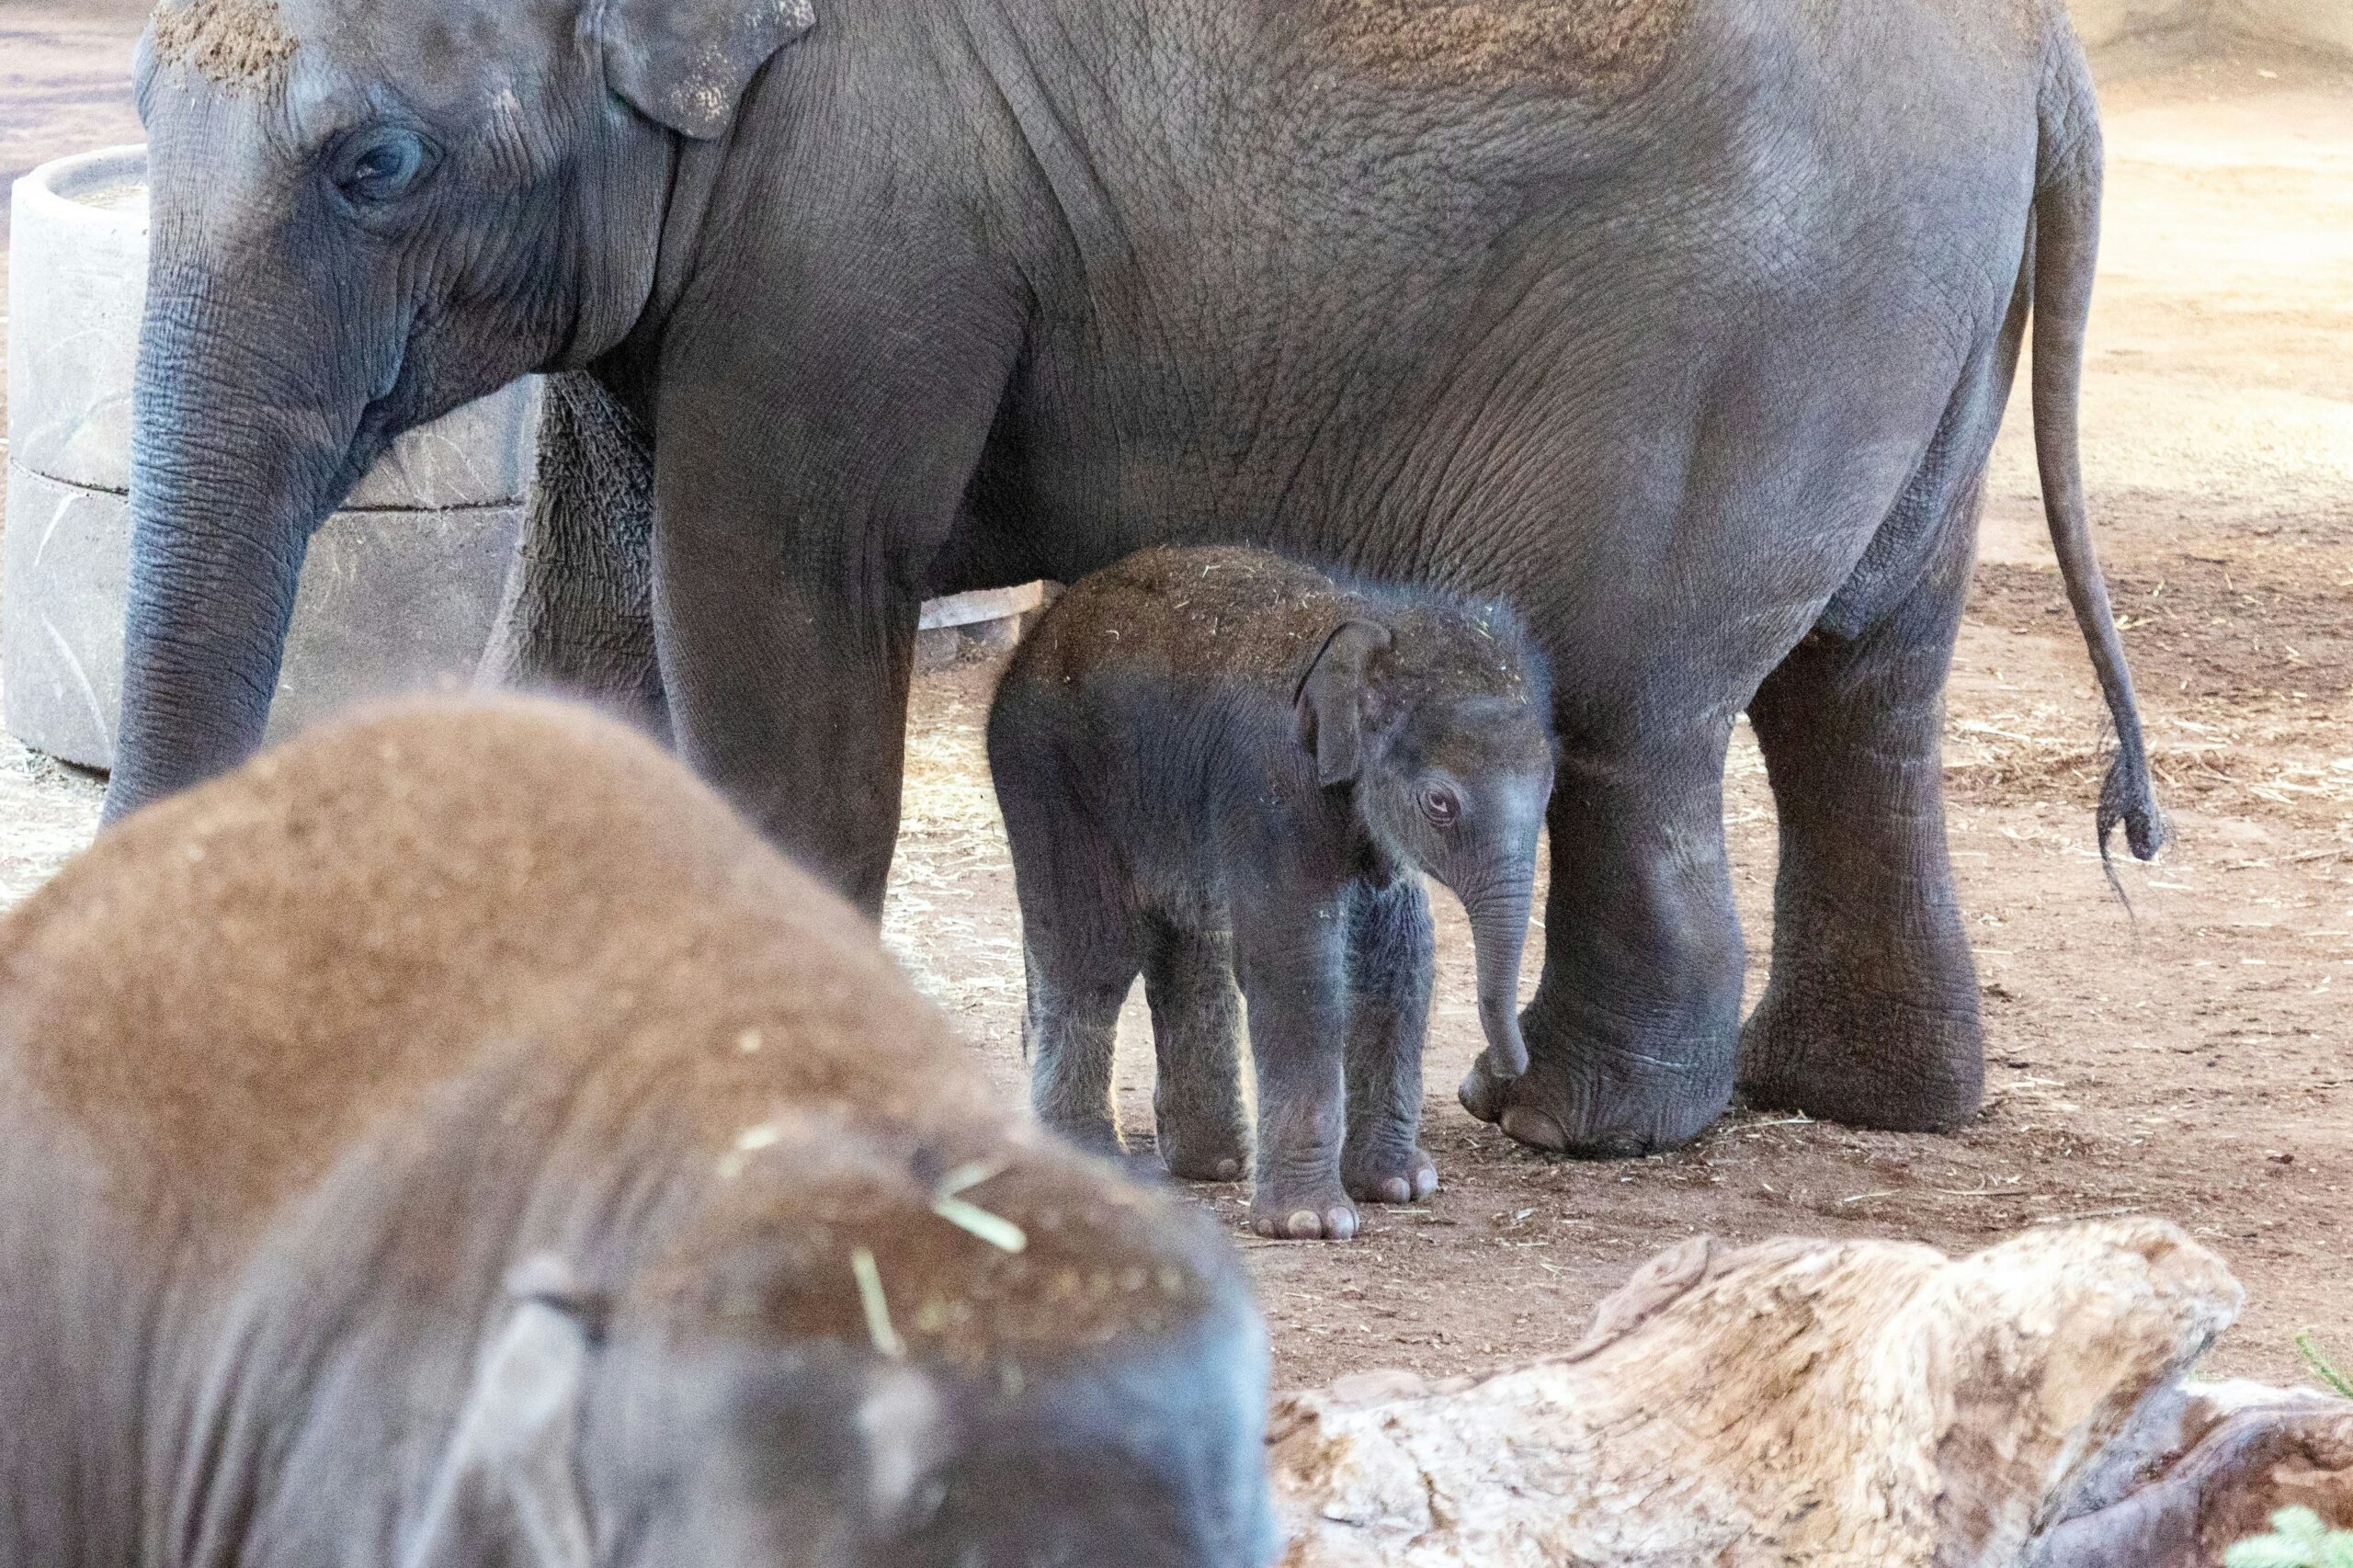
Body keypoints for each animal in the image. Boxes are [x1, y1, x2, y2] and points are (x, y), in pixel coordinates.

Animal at [114, 0, 2165, 1153]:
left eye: (375, 162)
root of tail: (2049, 60)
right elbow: (588, 624)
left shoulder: (855, 225)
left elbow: (778, 616)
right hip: (1906, 336)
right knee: (1859, 696)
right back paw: (1846, 1099)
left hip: (1743, 331)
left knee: (1633, 715)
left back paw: (1572, 1125)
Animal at [983, 543, 1552, 1243]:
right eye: (1440, 804)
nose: (1502, 1074)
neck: (1372, 624)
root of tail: (1038, 629)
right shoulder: (1269, 784)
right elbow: (1295, 967)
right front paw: (1312, 1224)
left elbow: (1398, 960)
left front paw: (1400, 1187)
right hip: (1048, 776)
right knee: (1092, 953)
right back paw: (1093, 1162)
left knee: (1185, 937)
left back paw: (1214, 1163)